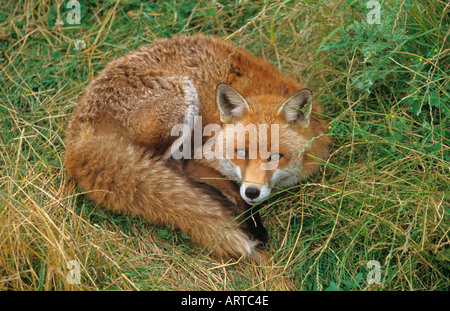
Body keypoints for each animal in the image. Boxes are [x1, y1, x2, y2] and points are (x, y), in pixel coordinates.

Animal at [64, 34, 330, 260]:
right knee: (167, 171)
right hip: (182, 100)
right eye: (241, 153)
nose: (253, 192)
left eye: (275, 156)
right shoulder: (201, 156)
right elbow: (232, 189)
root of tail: (79, 137)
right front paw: (250, 222)